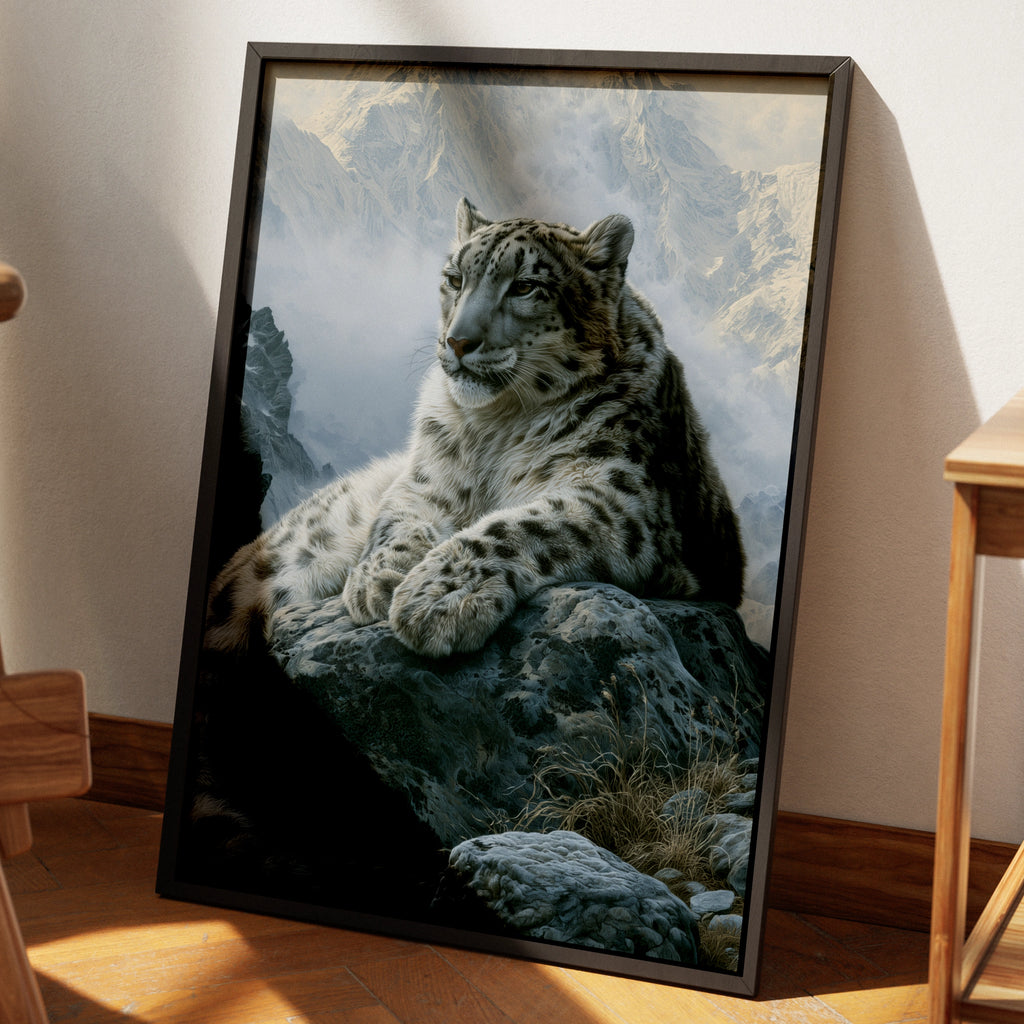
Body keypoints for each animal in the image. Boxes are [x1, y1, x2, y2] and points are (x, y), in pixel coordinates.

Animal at [203, 198, 745, 661]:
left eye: (525, 285)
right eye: (453, 277)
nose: (458, 341)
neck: (495, 427)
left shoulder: (623, 500)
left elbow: (521, 525)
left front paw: (437, 598)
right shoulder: (423, 479)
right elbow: (394, 519)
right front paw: (378, 578)